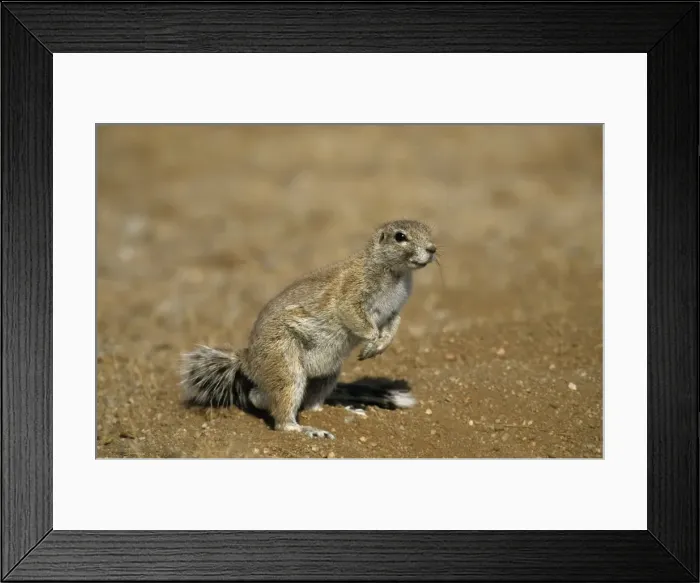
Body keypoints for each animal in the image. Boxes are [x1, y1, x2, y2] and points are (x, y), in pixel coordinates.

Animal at [180, 219, 437, 439]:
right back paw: (305, 430)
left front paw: (381, 345)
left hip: (327, 376)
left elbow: (393, 326)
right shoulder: (351, 295)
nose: (432, 249)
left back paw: (340, 411)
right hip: (286, 366)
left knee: (307, 403)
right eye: (400, 237)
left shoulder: (394, 311)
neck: (395, 273)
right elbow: (356, 318)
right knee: (275, 410)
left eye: (429, 230)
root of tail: (248, 361)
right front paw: (372, 341)